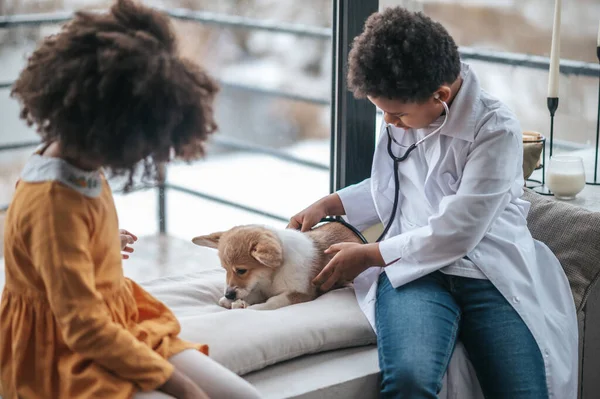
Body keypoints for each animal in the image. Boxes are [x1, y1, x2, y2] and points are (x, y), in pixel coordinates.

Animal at [190, 223, 364, 310]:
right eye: (224, 269)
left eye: (241, 270)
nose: (228, 294)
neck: (272, 276)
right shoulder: (260, 287)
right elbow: (252, 294)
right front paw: (234, 301)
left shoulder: (301, 293)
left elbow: (271, 302)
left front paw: (248, 307)